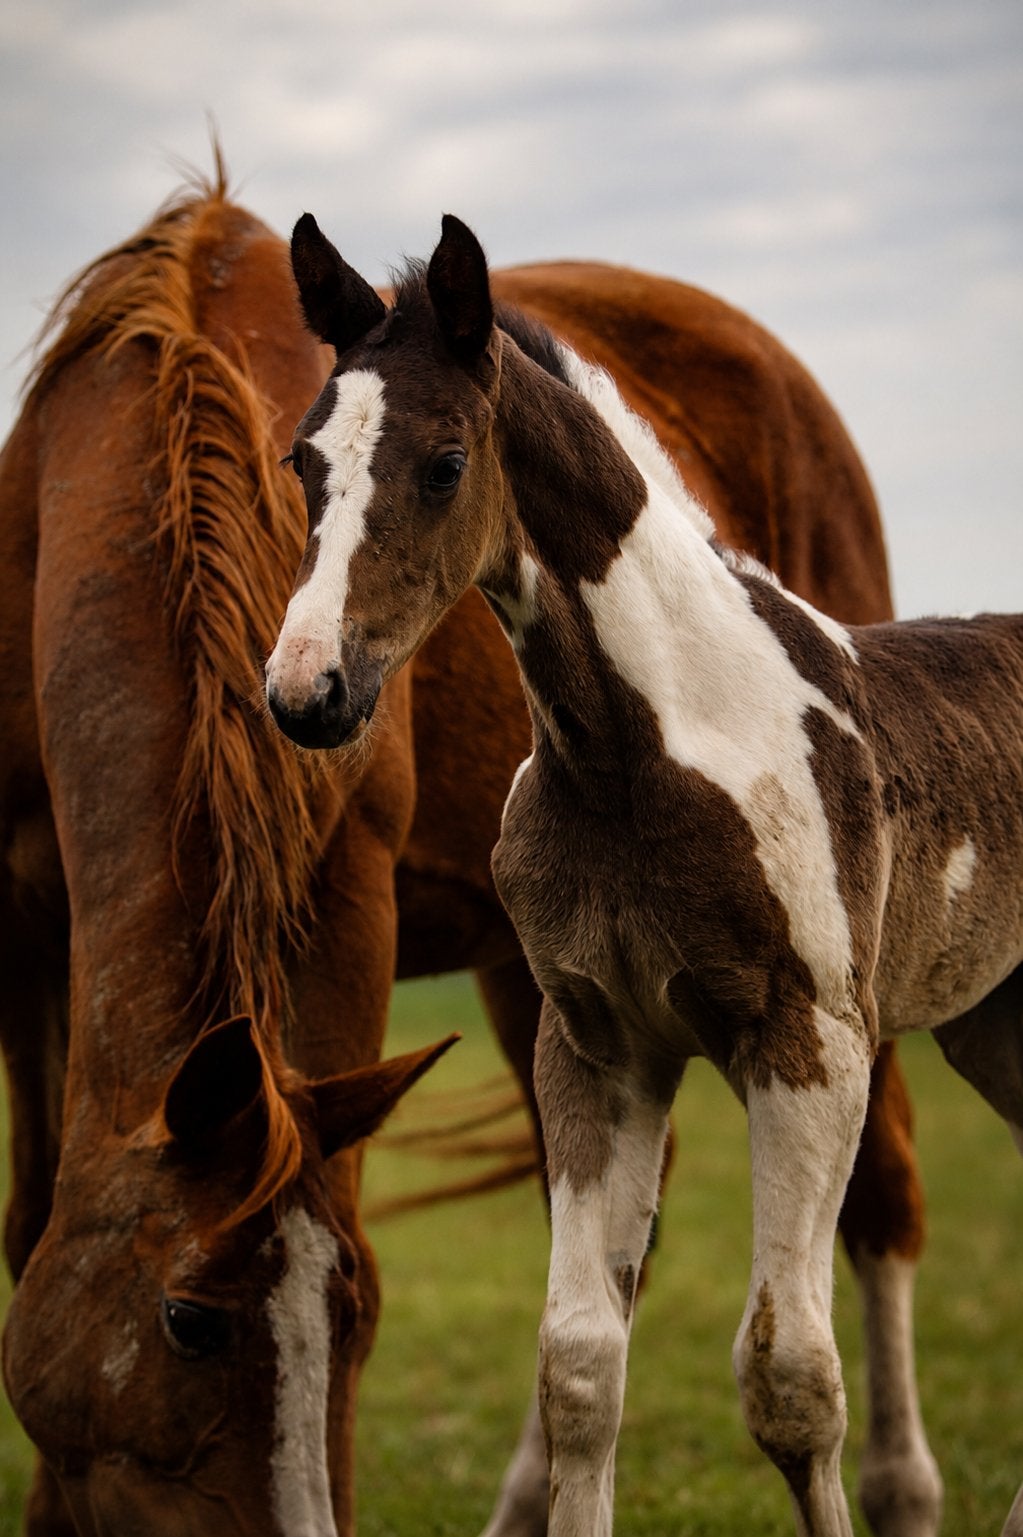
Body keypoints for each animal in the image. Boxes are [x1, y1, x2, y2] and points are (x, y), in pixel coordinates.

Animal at [0, 169, 930, 1536]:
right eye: (189, 1324)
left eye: (353, 1317)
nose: (312, 694)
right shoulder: (20, 930)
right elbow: (29, 1230)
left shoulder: (342, 899)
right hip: (529, 963)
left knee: (884, 1194)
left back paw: (904, 1485)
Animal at [266, 212, 1022, 1537]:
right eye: (306, 463)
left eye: (446, 464)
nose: (307, 690)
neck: (646, 745)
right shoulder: (597, 1042)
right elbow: (580, 1364)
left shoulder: (808, 1045)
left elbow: (791, 1377)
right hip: (999, 1022)